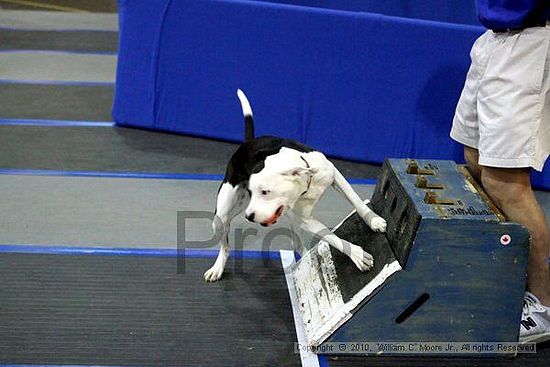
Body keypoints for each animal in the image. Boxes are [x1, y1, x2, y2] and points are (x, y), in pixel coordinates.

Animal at [204, 90, 388, 284]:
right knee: (225, 247)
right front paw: (357, 254)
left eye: (265, 192)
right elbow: (330, 236)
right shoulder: (306, 220)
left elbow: (356, 201)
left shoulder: (334, 175)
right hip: (221, 218)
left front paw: (374, 220)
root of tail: (247, 144)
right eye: (251, 191)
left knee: (298, 245)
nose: (249, 216)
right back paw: (217, 268)